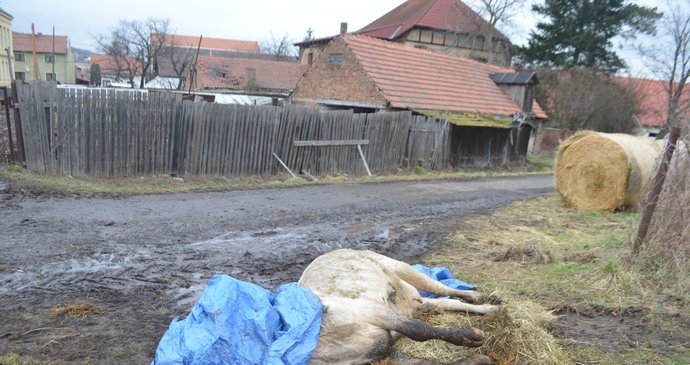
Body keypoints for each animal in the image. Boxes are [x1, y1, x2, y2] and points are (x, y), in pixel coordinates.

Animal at [296, 249, 500, 362]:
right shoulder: (377, 351)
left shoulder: (371, 310)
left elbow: (418, 330)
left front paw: (470, 337)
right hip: (418, 303)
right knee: (447, 302)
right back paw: (489, 308)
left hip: (401, 268)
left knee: (439, 287)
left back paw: (478, 296)